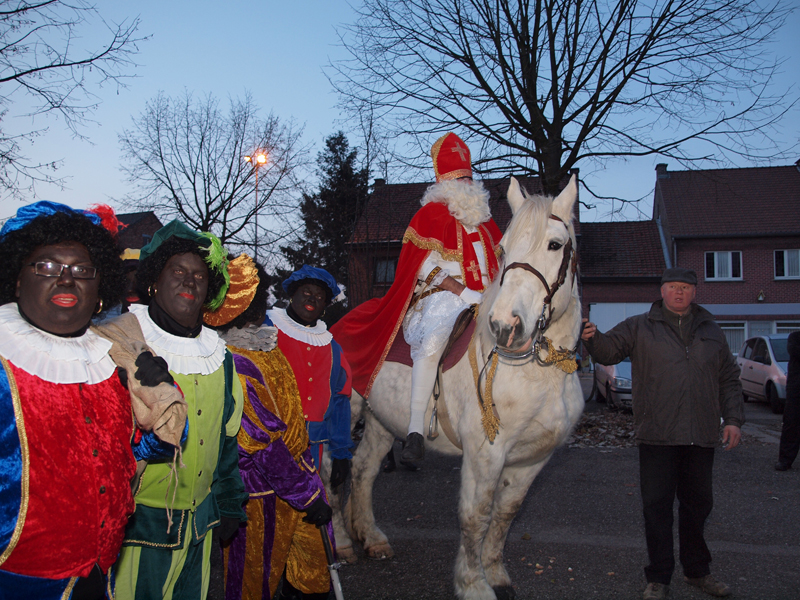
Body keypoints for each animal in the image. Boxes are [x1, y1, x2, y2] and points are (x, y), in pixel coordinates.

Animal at [334, 176, 584, 596]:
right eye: (504, 249)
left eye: (555, 244)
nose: (505, 326)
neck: (536, 373)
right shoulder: (485, 457)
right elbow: (476, 516)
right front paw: (473, 585)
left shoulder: (532, 460)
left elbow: (504, 515)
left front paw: (495, 573)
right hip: (339, 417)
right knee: (329, 475)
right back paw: (339, 542)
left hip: (381, 420)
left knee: (363, 469)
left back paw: (371, 537)